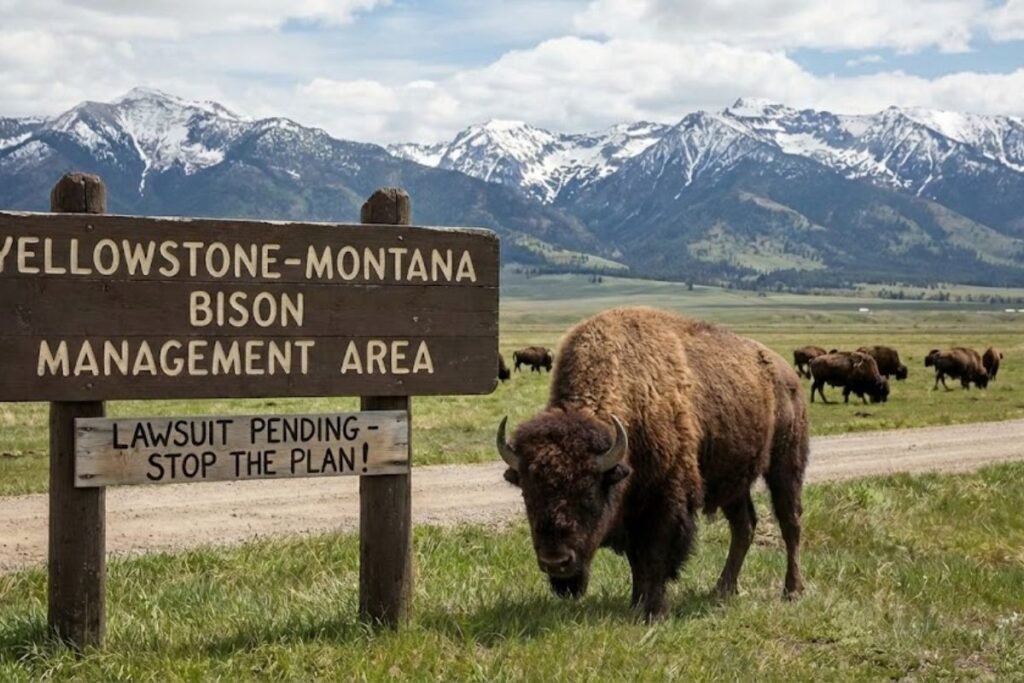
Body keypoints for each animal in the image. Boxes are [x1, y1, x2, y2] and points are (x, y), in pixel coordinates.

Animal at [496, 307, 808, 619]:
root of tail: (787, 375)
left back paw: (792, 591)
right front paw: (636, 603)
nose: (555, 561)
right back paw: (723, 589)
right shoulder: (631, 511)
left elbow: (655, 557)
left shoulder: (665, 502)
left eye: (588, 494)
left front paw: (655, 612)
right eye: (527, 495)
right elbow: (637, 562)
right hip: (733, 480)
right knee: (744, 526)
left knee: (790, 523)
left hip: (785, 464)